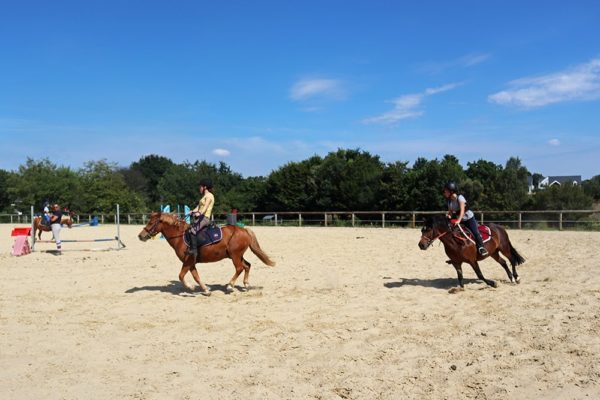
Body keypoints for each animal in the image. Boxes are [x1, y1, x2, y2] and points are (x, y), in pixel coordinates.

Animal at [137, 214, 276, 296]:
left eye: (151, 223)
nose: (140, 236)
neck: (180, 237)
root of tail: (244, 230)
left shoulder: (187, 261)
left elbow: (181, 276)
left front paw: (191, 287)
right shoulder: (191, 263)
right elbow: (196, 277)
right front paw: (205, 290)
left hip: (235, 256)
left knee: (240, 268)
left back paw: (230, 286)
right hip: (236, 255)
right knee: (247, 265)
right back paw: (246, 284)